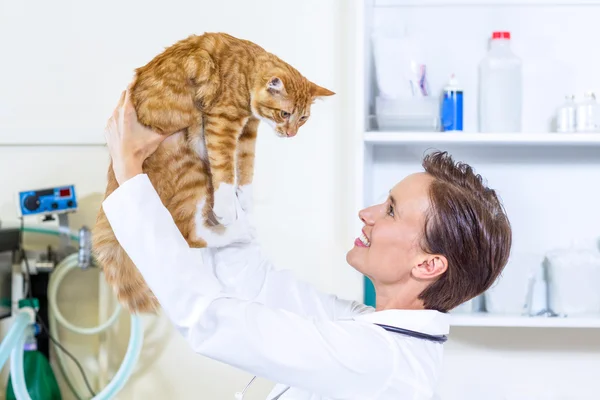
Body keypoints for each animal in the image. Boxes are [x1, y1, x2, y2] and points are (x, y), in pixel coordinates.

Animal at [95, 32, 338, 312]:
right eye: (284, 113)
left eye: (303, 118)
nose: (291, 134)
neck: (246, 68)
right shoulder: (223, 122)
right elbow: (225, 167)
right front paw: (227, 205)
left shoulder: (248, 131)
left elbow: (245, 166)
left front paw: (244, 198)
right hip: (190, 165)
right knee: (188, 234)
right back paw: (241, 231)